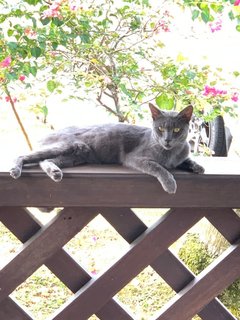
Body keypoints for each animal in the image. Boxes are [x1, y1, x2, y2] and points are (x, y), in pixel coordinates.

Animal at [9, 103, 204, 192]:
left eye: (177, 130)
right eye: (161, 128)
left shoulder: (181, 154)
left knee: (45, 160)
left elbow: (187, 159)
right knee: (23, 155)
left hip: (76, 155)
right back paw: (15, 170)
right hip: (64, 146)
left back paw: (55, 172)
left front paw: (198, 167)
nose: (167, 140)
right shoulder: (136, 158)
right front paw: (170, 183)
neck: (171, 153)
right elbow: (158, 167)